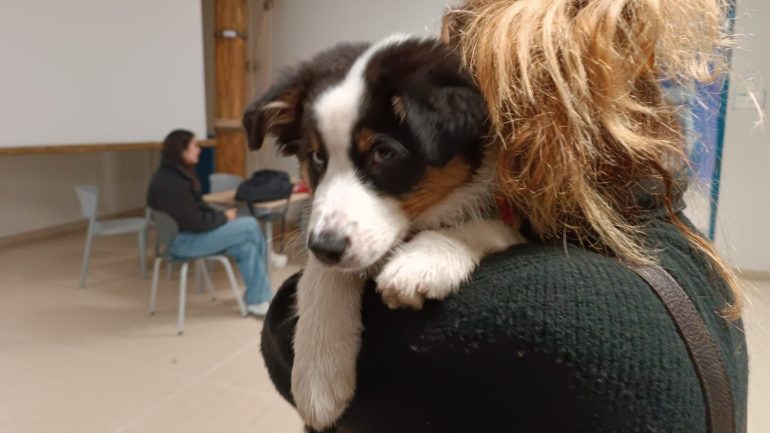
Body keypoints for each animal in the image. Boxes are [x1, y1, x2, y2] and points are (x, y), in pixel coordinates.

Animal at [243, 33, 524, 428]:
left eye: (384, 153)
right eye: (317, 157)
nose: (324, 247)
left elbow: (483, 224)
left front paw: (425, 259)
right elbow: (322, 275)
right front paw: (318, 369)